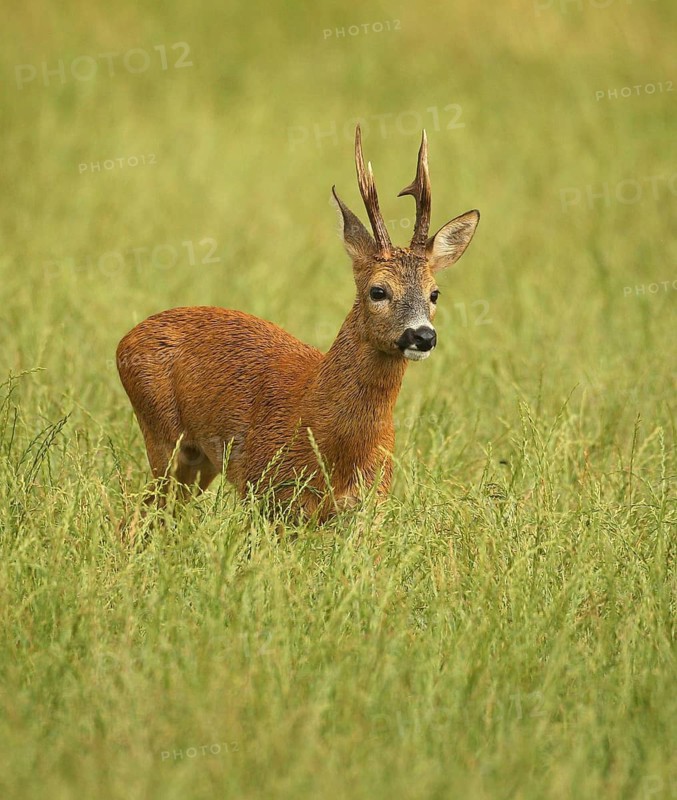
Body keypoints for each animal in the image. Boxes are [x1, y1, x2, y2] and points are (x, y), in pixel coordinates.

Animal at [116, 125, 479, 522]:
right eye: (378, 290)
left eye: (435, 293)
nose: (422, 336)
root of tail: (126, 338)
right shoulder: (264, 488)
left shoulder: (370, 503)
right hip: (162, 433)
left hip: (198, 461)